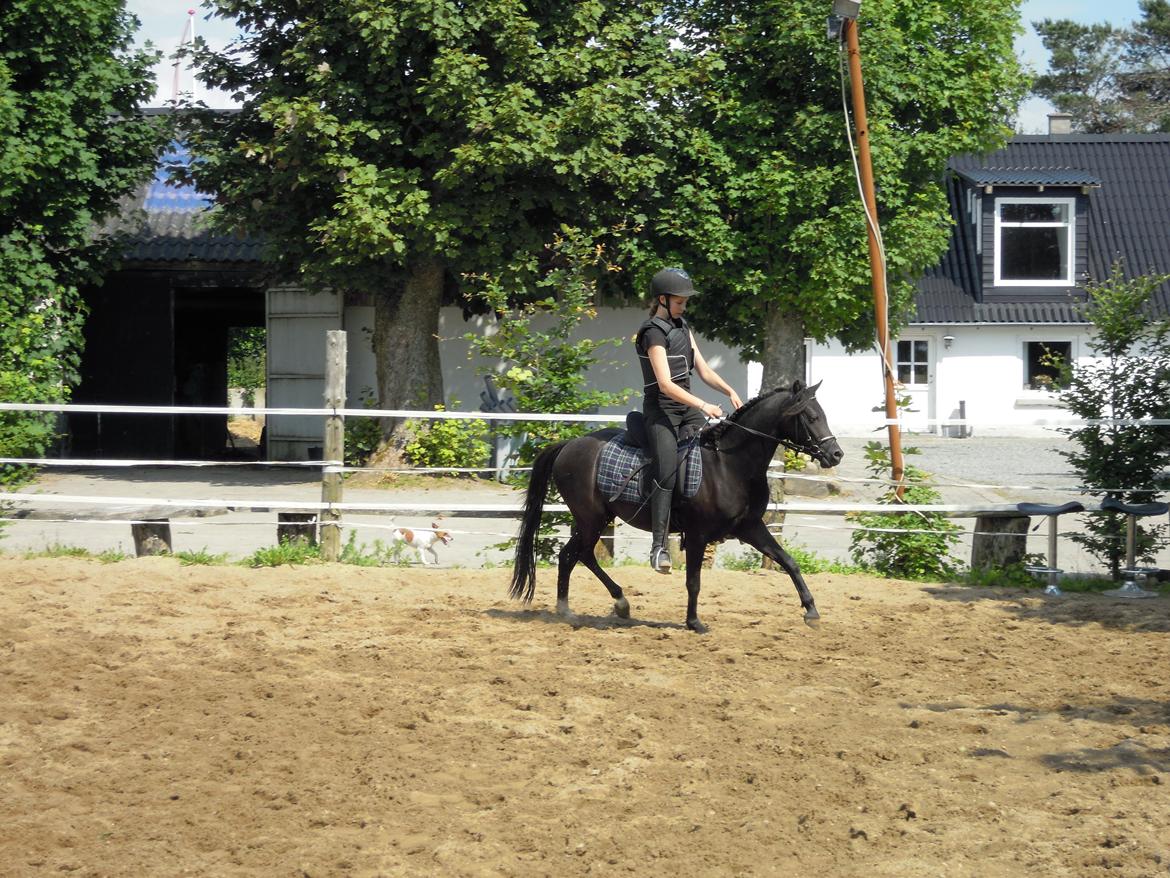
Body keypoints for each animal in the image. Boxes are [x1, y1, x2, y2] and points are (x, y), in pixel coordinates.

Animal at [510, 379, 842, 632]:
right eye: (810, 417)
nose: (836, 454)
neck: (729, 464)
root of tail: (569, 445)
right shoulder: (697, 535)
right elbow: (693, 581)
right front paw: (695, 623)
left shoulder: (750, 527)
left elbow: (788, 561)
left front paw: (811, 612)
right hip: (591, 519)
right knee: (572, 556)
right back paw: (571, 609)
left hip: (595, 520)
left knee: (580, 555)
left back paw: (614, 603)